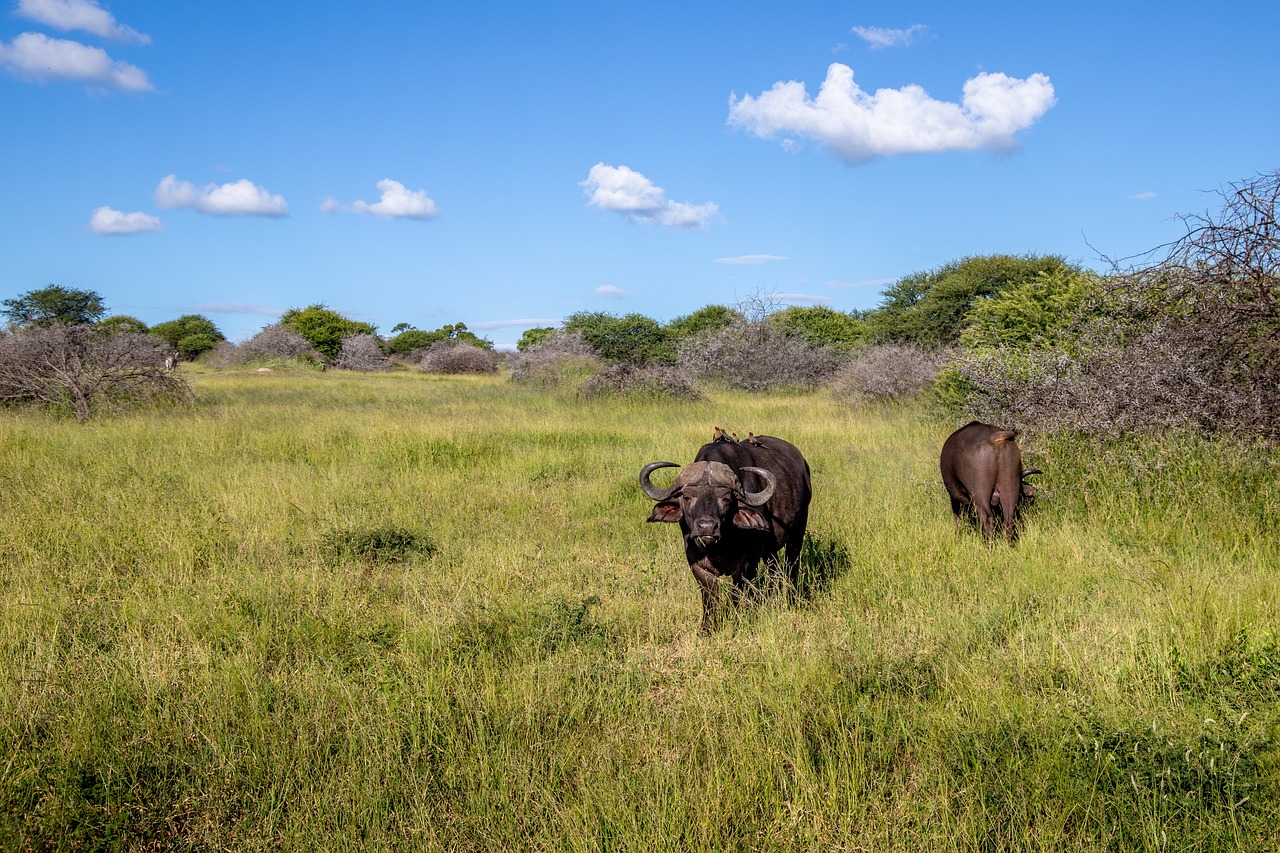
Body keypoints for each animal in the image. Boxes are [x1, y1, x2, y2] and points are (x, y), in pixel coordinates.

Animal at [640, 427, 808, 627]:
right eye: (687, 497)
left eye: (726, 499)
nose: (707, 527)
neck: (720, 547)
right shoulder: (697, 564)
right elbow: (710, 599)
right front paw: (707, 627)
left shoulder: (747, 564)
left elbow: (737, 595)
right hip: (770, 549)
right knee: (774, 568)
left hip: (798, 533)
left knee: (791, 565)